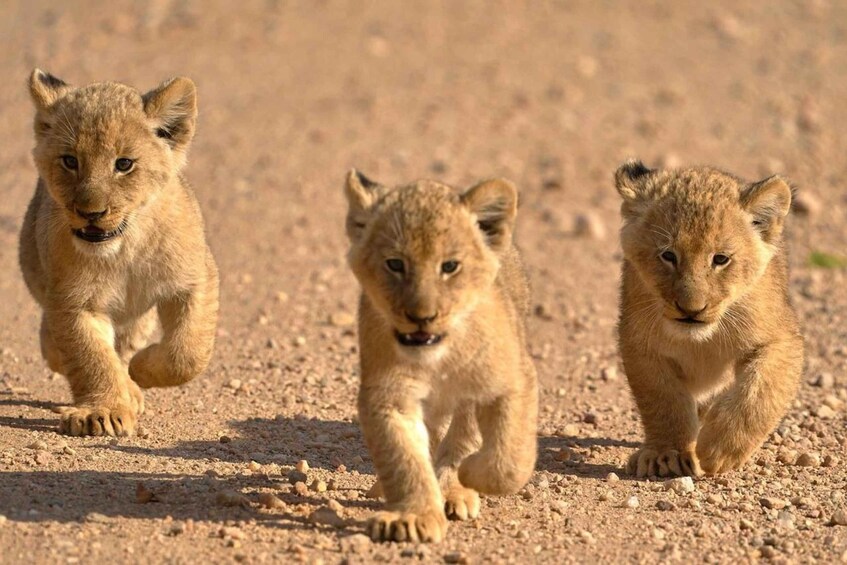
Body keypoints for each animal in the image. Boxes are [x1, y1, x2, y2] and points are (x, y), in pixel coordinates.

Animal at [19, 69, 219, 437]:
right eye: (70, 161)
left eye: (123, 164)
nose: (91, 213)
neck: (124, 249)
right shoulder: (71, 303)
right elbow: (91, 358)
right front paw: (103, 411)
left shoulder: (197, 278)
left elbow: (188, 351)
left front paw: (141, 370)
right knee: (61, 350)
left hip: (138, 320)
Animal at [343, 170, 538, 543]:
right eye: (395, 264)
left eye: (449, 266)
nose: (422, 316)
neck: (439, 358)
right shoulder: (389, 396)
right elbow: (403, 457)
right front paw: (412, 516)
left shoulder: (513, 379)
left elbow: (507, 459)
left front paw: (468, 474)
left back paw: (453, 488)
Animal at [614, 160, 804, 477]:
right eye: (668, 255)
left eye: (720, 259)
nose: (691, 309)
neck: (700, 341)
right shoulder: (639, 345)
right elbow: (663, 401)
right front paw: (666, 455)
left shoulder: (782, 339)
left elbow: (758, 394)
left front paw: (719, 451)